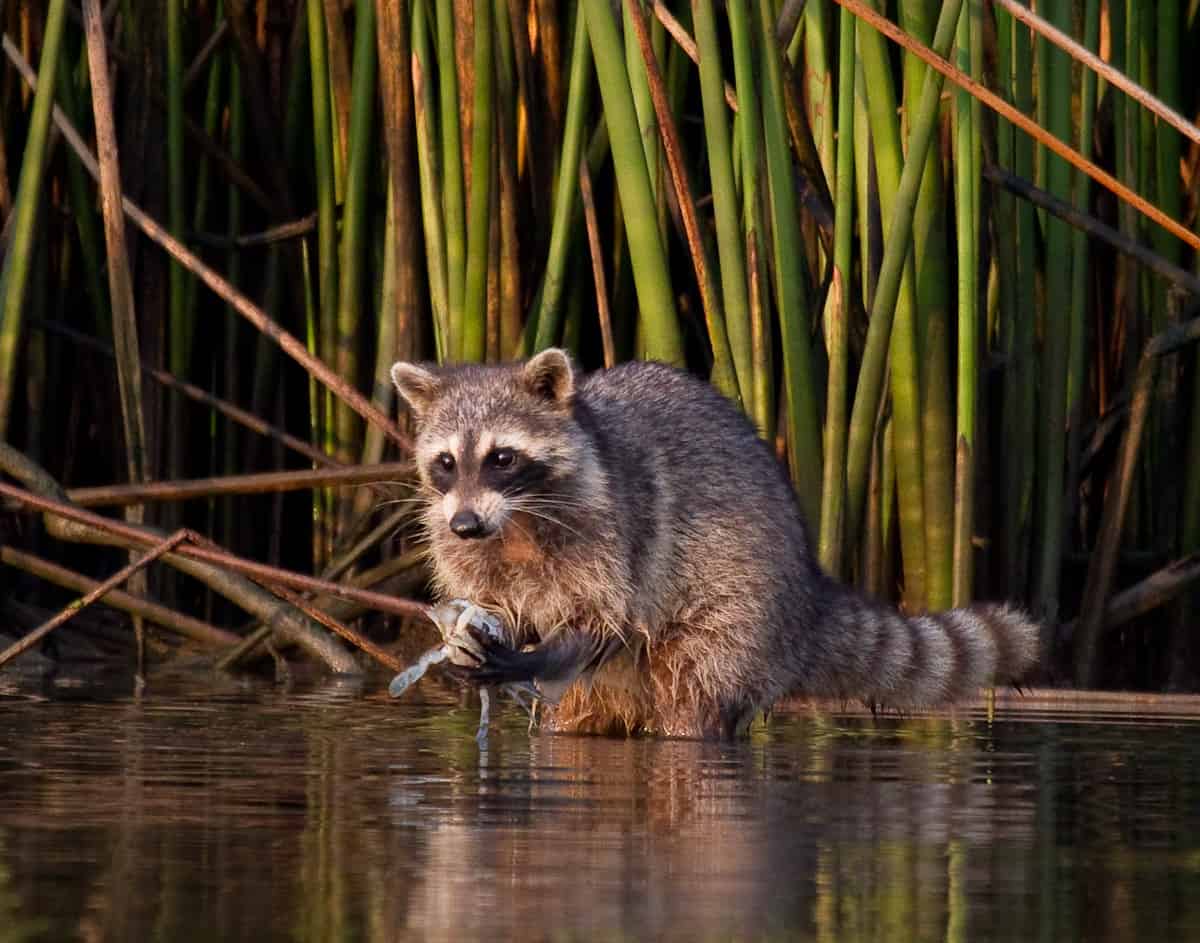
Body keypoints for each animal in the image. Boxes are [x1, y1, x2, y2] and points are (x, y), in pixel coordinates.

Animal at [390, 349, 1038, 739]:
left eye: (501, 458)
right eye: (446, 462)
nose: (466, 524)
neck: (515, 524)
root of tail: (808, 590)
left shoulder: (617, 532)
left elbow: (604, 619)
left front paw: (528, 656)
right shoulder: (460, 540)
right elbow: (500, 600)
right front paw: (478, 635)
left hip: (740, 616)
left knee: (695, 691)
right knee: (577, 713)